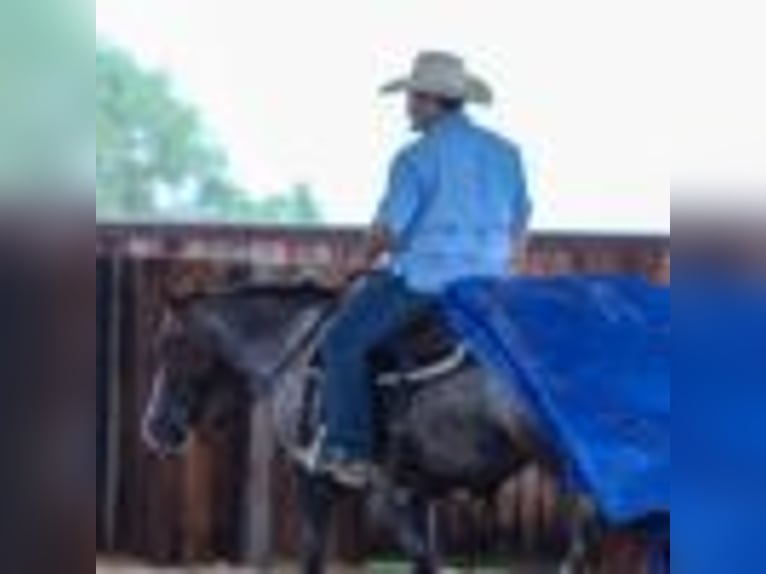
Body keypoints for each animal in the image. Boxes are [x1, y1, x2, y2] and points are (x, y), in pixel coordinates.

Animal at [142, 278, 600, 573]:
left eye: (169, 346)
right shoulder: (413, 492)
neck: (296, 348)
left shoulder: (314, 477)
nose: (154, 427)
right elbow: (423, 558)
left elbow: (314, 554)